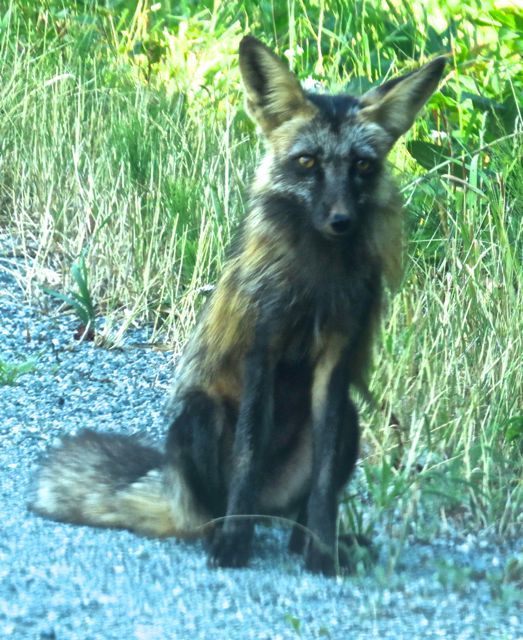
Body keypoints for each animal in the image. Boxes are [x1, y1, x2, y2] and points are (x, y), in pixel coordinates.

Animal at [29, 35, 446, 576]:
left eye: (362, 166)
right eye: (308, 162)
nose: (341, 221)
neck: (315, 281)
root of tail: (174, 490)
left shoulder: (335, 363)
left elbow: (324, 488)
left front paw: (323, 552)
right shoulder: (261, 349)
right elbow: (248, 456)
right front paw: (234, 546)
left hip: (350, 421)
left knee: (296, 516)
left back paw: (308, 542)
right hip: (199, 416)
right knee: (211, 511)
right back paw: (223, 531)